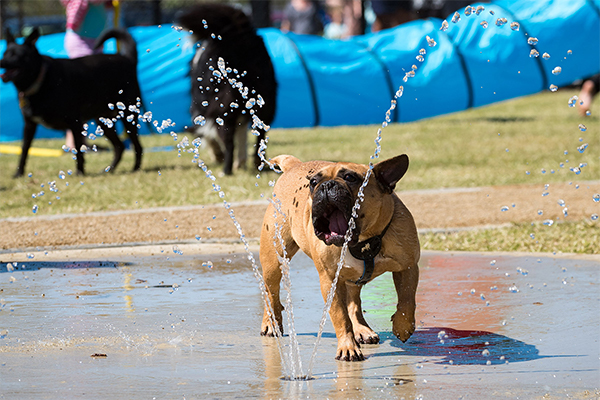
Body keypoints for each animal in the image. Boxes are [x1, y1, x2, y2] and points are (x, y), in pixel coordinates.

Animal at [0, 27, 144, 177]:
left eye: (16, 55)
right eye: (5, 53)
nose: (1, 61)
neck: (41, 79)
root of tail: (128, 59)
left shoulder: (75, 123)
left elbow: (79, 151)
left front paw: (80, 173)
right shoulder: (29, 125)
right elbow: (24, 150)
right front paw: (18, 173)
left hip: (128, 116)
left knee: (137, 146)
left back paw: (135, 169)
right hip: (103, 122)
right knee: (119, 147)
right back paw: (109, 170)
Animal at [178, 3, 278, 175]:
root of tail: (238, 37)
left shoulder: (202, 110)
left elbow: (208, 134)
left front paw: (219, 155)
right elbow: (243, 134)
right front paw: (241, 161)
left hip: (223, 107)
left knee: (229, 141)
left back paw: (226, 170)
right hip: (265, 101)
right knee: (261, 134)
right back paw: (257, 162)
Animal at [260, 155, 420, 360]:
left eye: (350, 178)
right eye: (313, 182)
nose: (326, 185)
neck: (362, 242)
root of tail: (294, 165)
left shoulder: (408, 266)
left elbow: (407, 299)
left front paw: (403, 326)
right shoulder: (330, 281)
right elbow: (340, 316)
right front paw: (347, 347)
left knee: (354, 303)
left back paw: (362, 330)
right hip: (273, 260)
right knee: (270, 293)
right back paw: (270, 324)